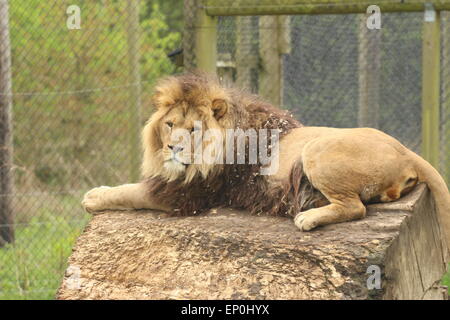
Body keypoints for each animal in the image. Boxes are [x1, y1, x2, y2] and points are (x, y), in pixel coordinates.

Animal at [81, 73, 450, 258]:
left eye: (194, 129)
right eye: (170, 125)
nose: (173, 148)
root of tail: (407, 151)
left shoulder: (188, 196)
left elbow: (129, 193)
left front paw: (93, 196)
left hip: (316, 149)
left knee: (356, 207)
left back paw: (307, 217)